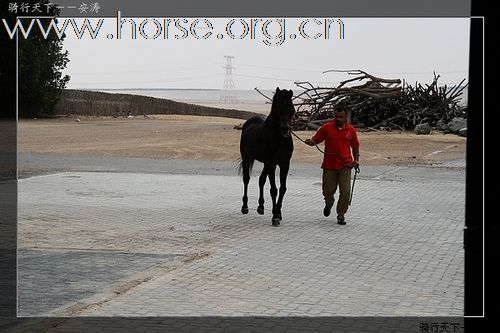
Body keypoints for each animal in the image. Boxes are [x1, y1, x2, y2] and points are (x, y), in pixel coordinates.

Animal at [239, 86, 294, 226]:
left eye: (291, 107)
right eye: (279, 107)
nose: (285, 129)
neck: (279, 138)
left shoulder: (285, 164)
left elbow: (283, 188)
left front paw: (278, 213)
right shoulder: (272, 163)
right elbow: (274, 189)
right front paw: (275, 217)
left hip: (265, 163)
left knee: (261, 180)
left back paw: (261, 207)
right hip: (247, 158)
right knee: (246, 179)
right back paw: (245, 207)